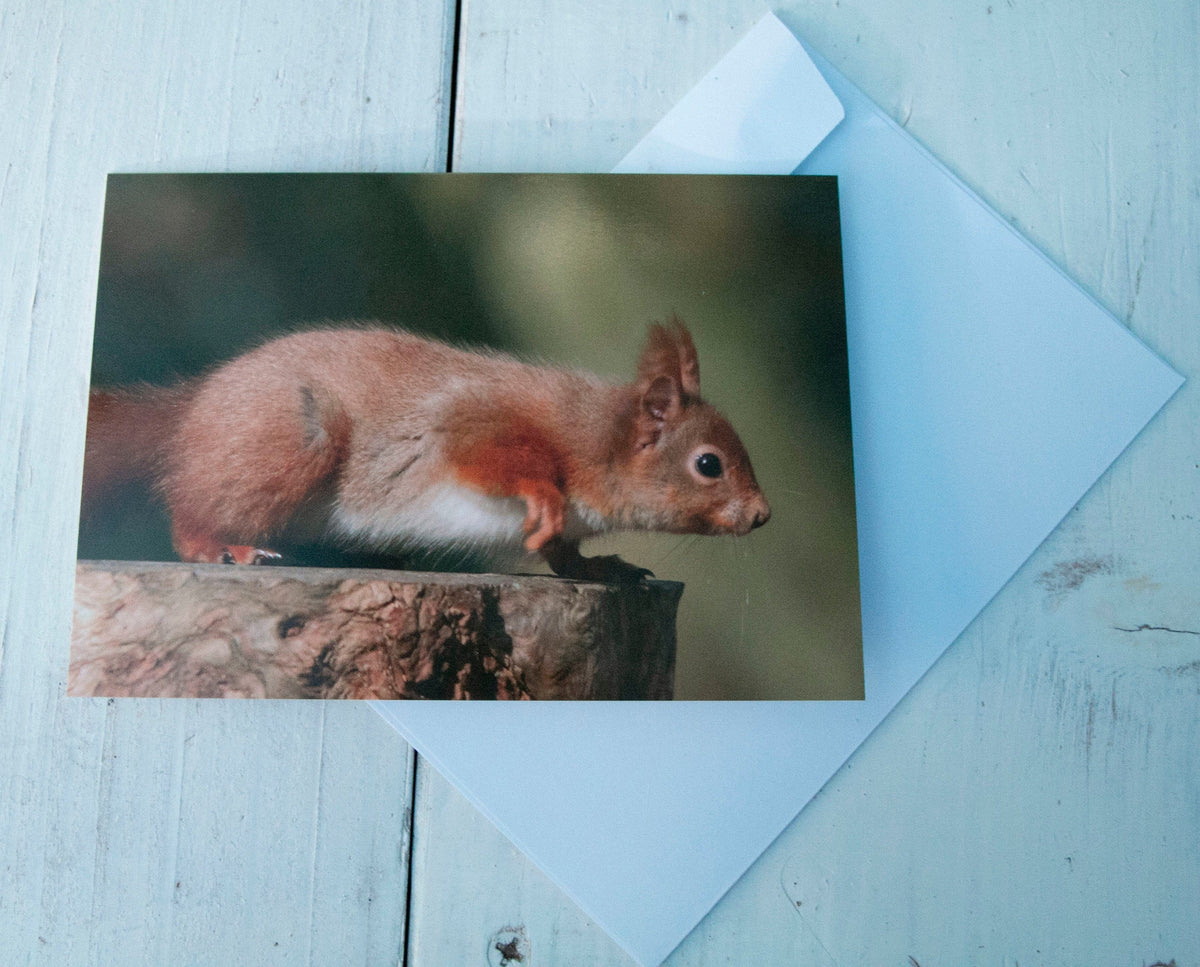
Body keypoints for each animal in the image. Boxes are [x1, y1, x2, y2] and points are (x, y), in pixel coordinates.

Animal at [81, 318, 770, 583]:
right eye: (708, 464)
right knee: (190, 513)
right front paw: (545, 499)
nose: (763, 516)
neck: (591, 436)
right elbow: (492, 459)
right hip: (292, 439)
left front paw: (600, 567)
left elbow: (564, 554)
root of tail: (193, 408)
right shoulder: (475, 426)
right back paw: (221, 546)